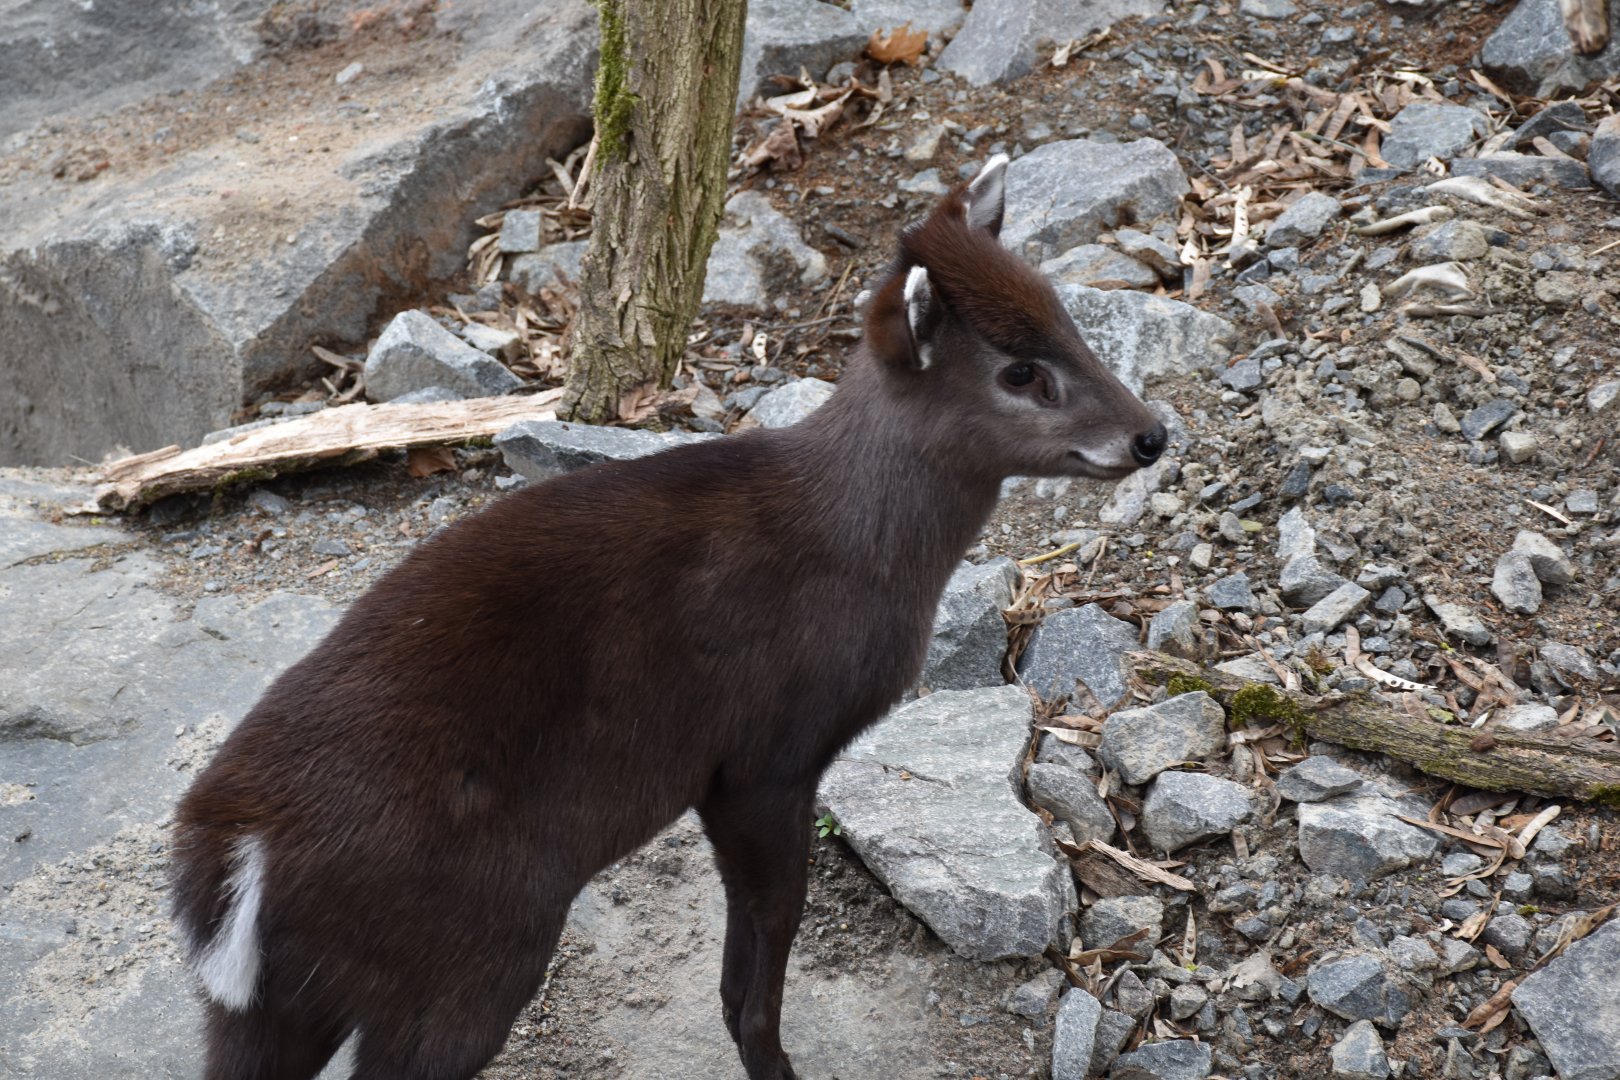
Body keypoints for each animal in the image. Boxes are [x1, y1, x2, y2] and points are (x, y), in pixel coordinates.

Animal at [170, 154, 1167, 1080]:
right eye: (1020, 371)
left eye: (1069, 318)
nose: (1151, 434)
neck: (858, 548)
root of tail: (237, 859)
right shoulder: (765, 754)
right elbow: (760, 959)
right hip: (476, 945)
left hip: (271, 1005)